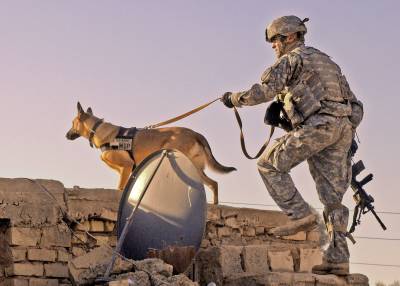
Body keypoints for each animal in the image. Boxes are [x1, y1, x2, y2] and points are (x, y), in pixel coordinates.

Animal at [64, 102, 236, 203]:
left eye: (72, 123)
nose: (66, 135)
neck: (98, 129)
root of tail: (196, 134)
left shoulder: (127, 166)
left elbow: (120, 188)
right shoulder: (126, 170)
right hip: (195, 167)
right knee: (213, 184)